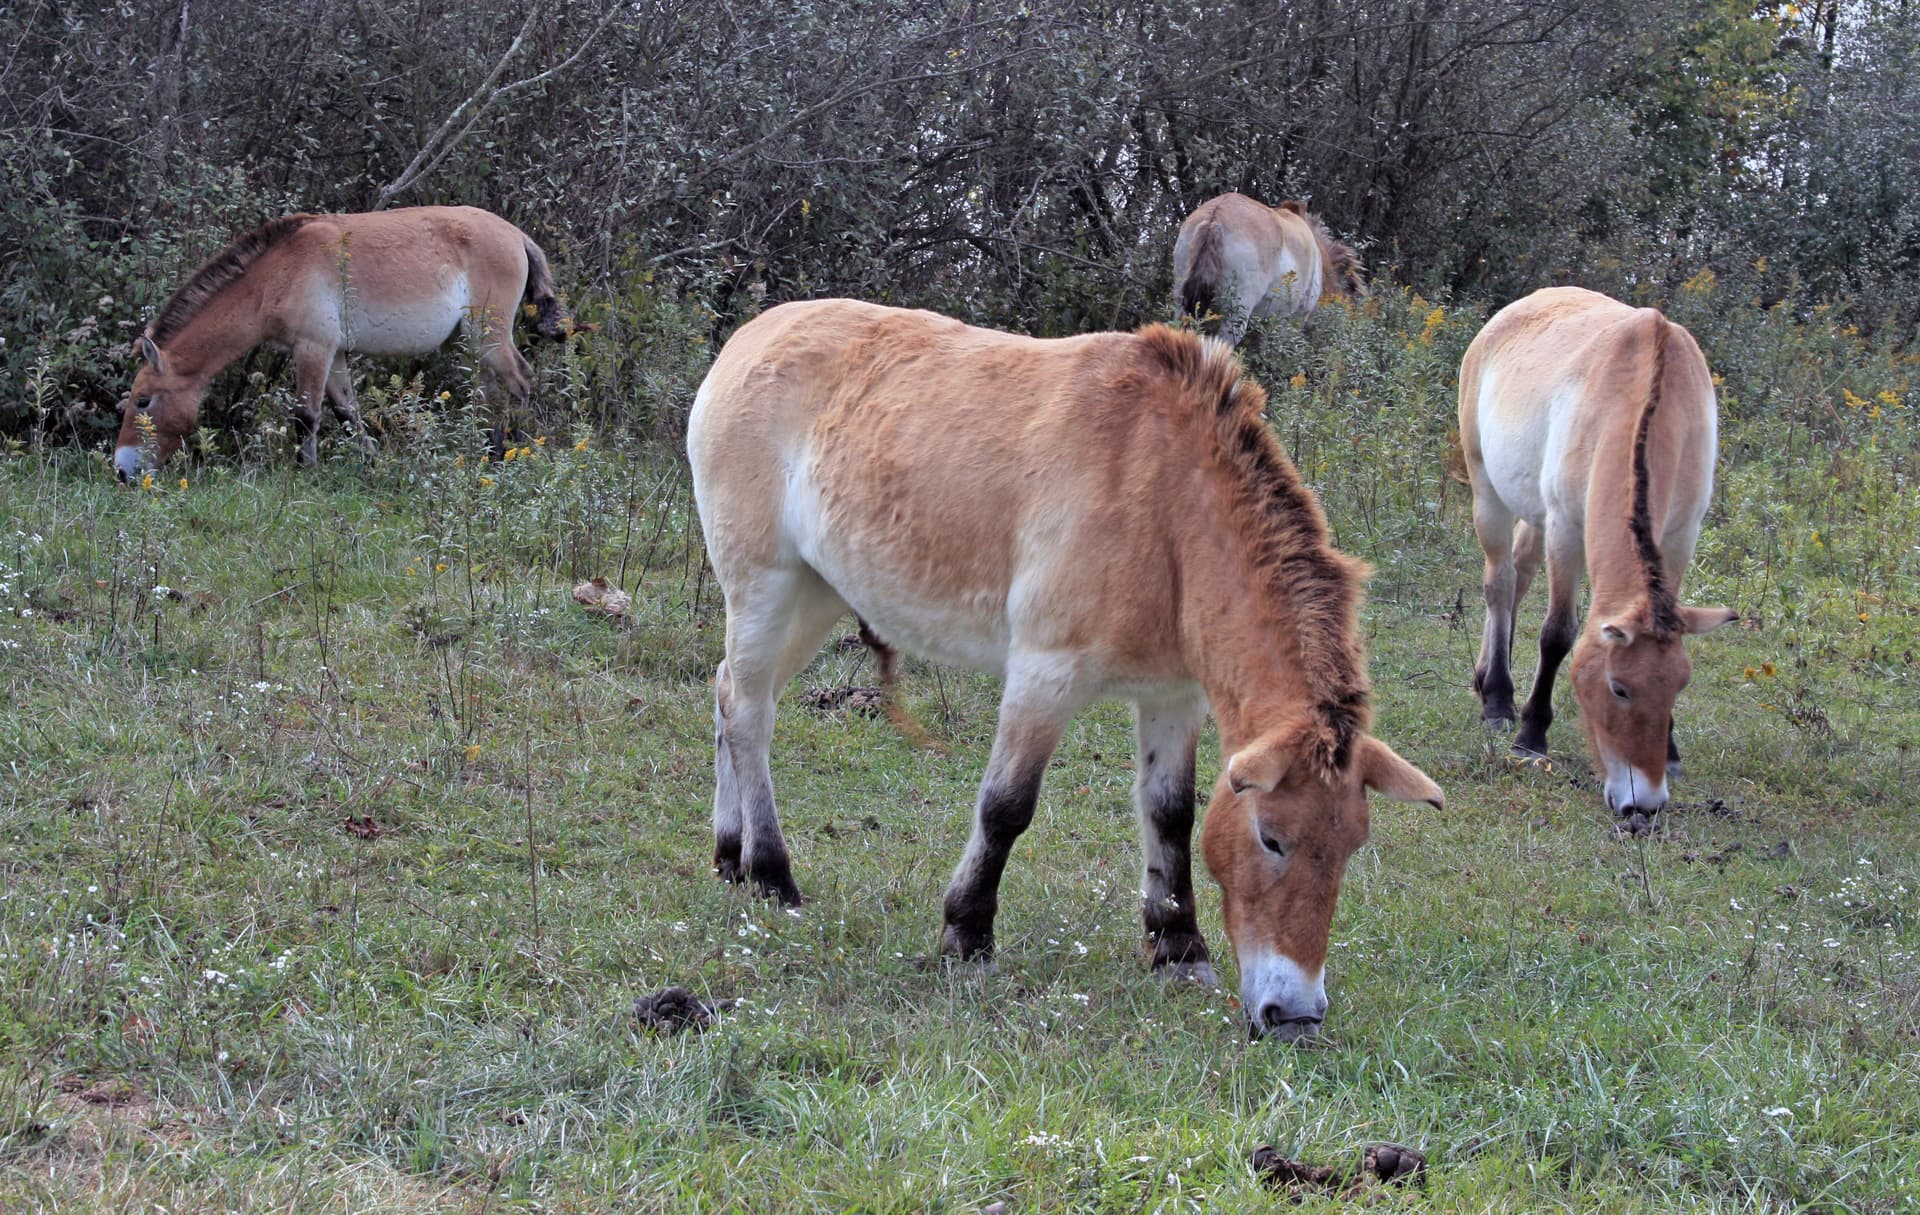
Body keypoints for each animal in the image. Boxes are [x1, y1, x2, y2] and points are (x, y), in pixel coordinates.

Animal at [113, 206, 582, 481]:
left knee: (521, 381)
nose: (121, 470)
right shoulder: (335, 353)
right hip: (475, 343)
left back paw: (516, 451)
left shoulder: (314, 348)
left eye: (143, 401)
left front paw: (305, 473)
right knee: (491, 393)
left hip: (489, 334)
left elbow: (306, 415)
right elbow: (347, 413)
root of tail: (516, 234)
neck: (275, 274)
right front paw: (374, 463)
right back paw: (488, 452)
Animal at [688, 299, 1442, 1041]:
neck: (1165, 499)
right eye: (1271, 838)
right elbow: (1005, 807)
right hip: (766, 585)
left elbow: (1169, 813)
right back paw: (772, 874)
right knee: (750, 713)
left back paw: (729, 855)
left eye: (1352, 845)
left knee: (732, 694)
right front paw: (967, 934)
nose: (1296, 1017)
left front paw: (1177, 949)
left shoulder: (1175, 696)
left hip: (816, 593)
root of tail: (751, 337)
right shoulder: (1043, 677)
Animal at [1459, 287, 1738, 820]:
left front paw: (1671, 752)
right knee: (1499, 582)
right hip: (1487, 489)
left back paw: (1486, 678)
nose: (1643, 803)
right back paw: (1498, 699)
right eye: (1618, 688)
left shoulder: (1681, 537)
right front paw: (1531, 736)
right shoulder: (1566, 529)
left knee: (1519, 576)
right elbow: (1557, 635)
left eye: (1679, 686)